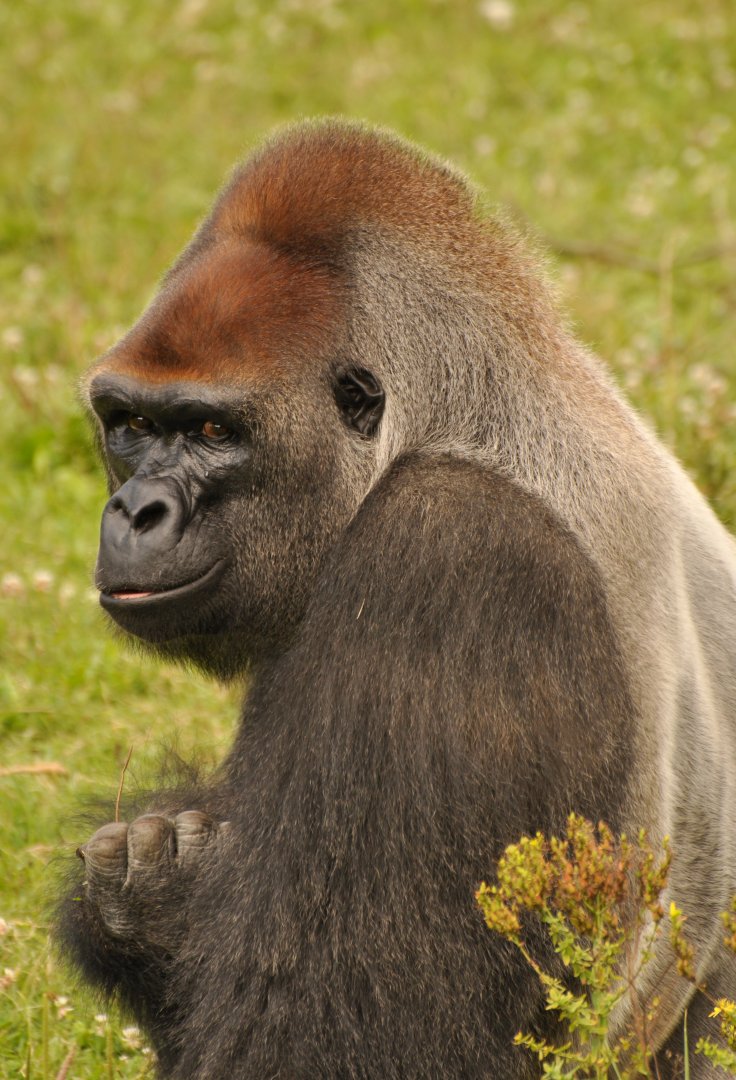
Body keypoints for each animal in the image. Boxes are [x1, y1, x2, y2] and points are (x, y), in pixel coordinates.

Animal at [57, 120, 736, 1078]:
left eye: (214, 430)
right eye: (132, 425)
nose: (135, 510)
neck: (465, 414)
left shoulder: (449, 550)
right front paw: (142, 896)